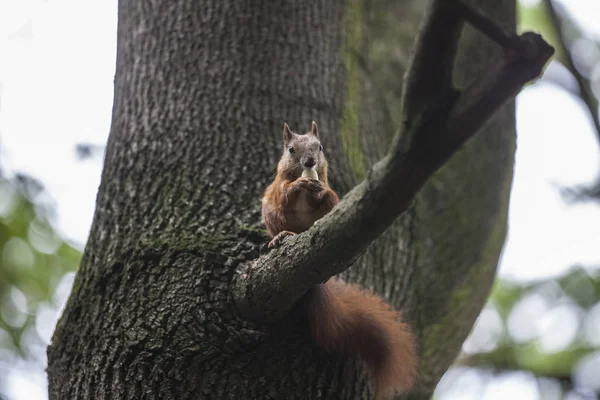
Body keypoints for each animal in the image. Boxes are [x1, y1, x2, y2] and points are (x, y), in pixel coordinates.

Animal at [260, 122, 420, 400]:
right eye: (290, 150)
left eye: (320, 147)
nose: (309, 161)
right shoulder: (279, 187)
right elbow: (285, 193)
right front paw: (299, 184)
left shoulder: (326, 188)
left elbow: (328, 195)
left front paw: (321, 190)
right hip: (272, 213)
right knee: (281, 222)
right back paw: (282, 236)